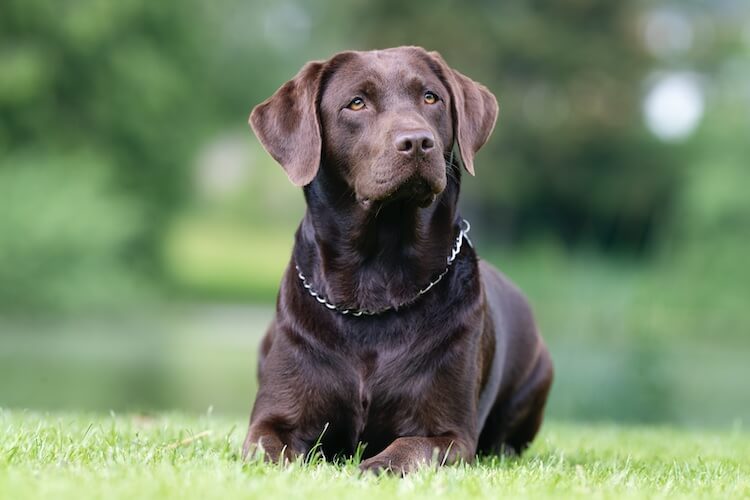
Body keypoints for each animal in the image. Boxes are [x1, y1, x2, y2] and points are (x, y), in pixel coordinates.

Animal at [244, 46, 556, 472]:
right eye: (356, 103)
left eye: (431, 98)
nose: (418, 141)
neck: (375, 280)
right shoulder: (272, 421)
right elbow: (271, 452)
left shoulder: (449, 434)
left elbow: (407, 450)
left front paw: (371, 468)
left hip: (538, 375)